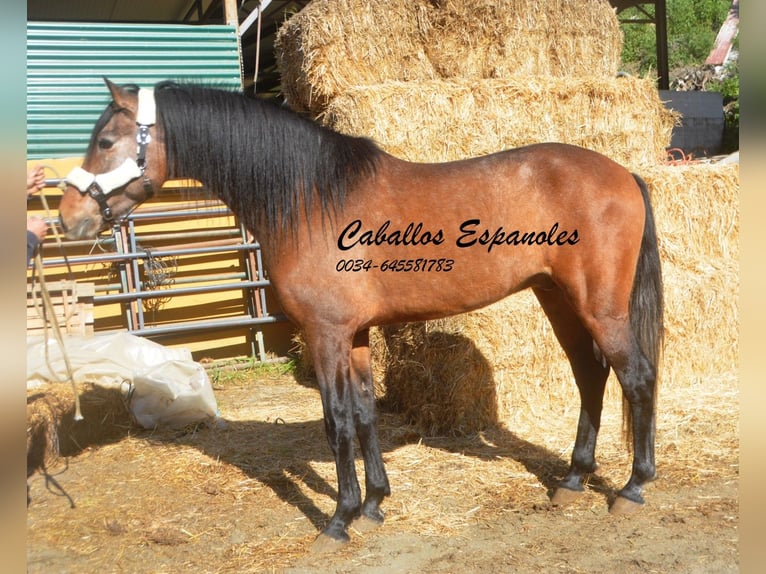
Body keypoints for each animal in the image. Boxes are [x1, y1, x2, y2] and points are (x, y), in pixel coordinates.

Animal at [58, 80, 664, 548]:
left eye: (105, 140)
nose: (69, 218)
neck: (311, 199)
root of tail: (624, 174)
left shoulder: (325, 333)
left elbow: (337, 421)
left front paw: (339, 518)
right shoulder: (354, 335)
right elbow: (366, 412)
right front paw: (374, 503)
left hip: (599, 307)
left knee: (636, 377)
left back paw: (633, 487)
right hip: (556, 298)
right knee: (590, 376)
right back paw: (573, 478)